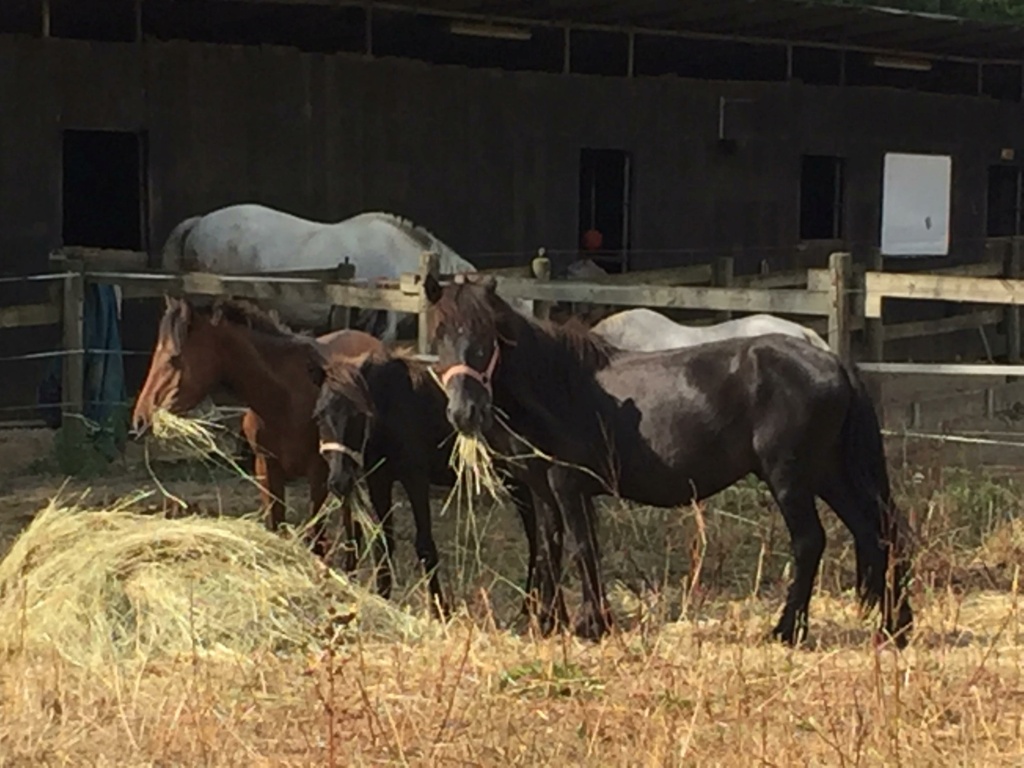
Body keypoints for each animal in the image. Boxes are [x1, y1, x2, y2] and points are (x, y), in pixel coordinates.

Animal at [132, 296, 380, 561]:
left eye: (173, 358)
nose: (140, 418)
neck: (285, 399)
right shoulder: (266, 469)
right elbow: (276, 527)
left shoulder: (319, 474)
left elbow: (317, 539)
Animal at [307, 346, 540, 622]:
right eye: (319, 416)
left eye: (358, 416)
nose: (339, 482)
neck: (390, 405)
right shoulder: (379, 481)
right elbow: (384, 542)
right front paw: (383, 598)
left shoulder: (415, 480)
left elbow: (425, 547)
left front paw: (441, 611)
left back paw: (530, 607)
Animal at [419, 274, 917, 651]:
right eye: (441, 334)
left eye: (486, 337)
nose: (464, 412)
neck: (560, 385)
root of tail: (831, 360)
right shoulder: (543, 489)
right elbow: (548, 549)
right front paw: (548, 621)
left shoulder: (568, 485)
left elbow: (582, 549)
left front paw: (593, 624)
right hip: (830, 474)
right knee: (876, 533)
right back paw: (895, 627)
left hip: (790, 477)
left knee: (811, 542)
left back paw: (786, 630)